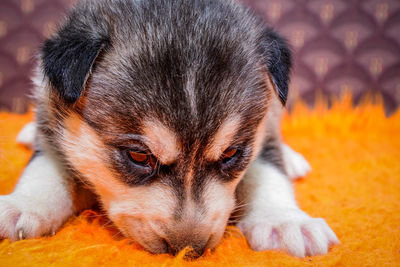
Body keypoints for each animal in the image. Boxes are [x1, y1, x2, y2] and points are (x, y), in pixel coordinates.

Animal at [0, 0, 340, 260]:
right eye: (139, 156)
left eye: (231, 153)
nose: (188, 249)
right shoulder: (52, 117)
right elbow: (45, 168)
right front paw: (24, 204)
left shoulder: (262, 130)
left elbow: (267, 170)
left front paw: (285, 222)